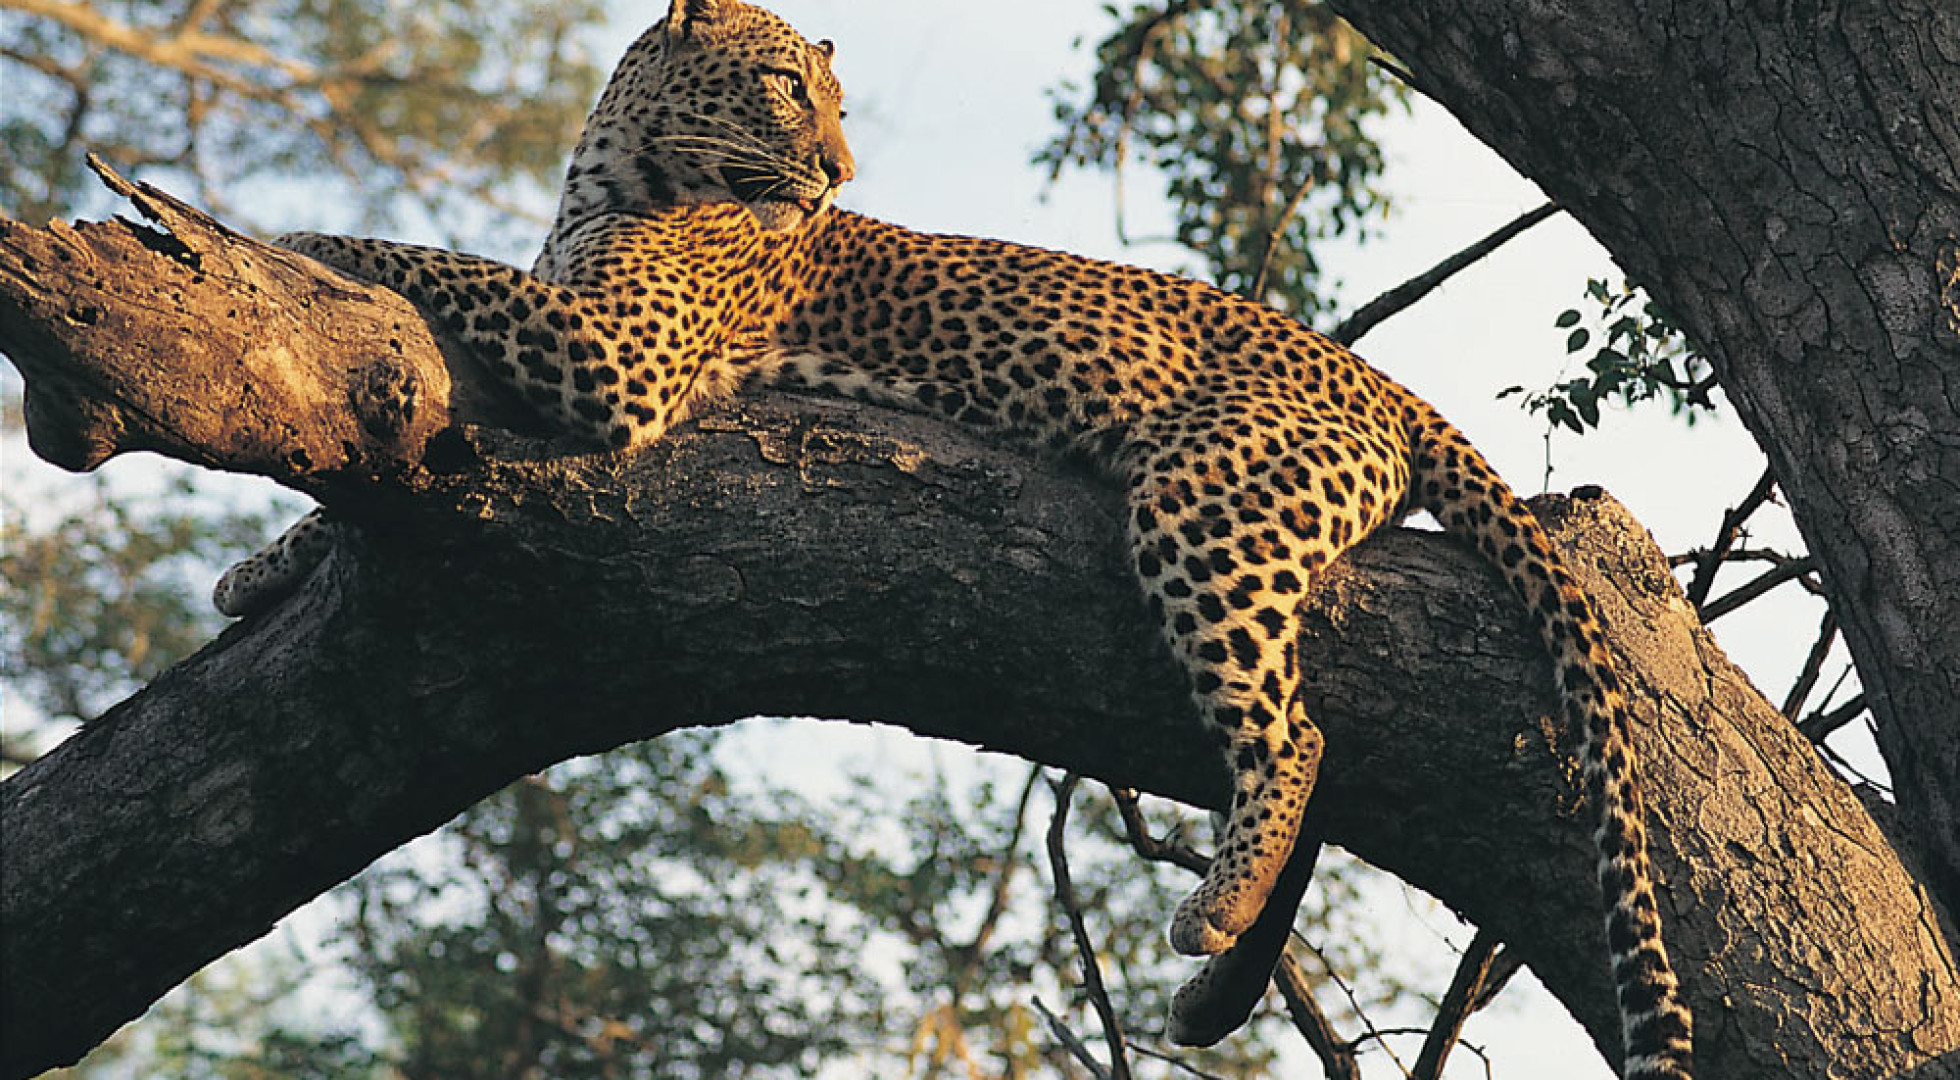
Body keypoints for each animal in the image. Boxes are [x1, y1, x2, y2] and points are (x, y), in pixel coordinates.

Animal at [215, 2, 1693, 1074]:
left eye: (830, 106)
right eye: (783, 88)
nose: (836, 172)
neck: (608, 176)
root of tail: (1380, 381)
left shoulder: (611, 355)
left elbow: (434, 261)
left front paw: (288, 232)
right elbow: (362, 469)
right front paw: (257, 570)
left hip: (1211, 501)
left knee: (1298, 731)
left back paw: (1213, 908)